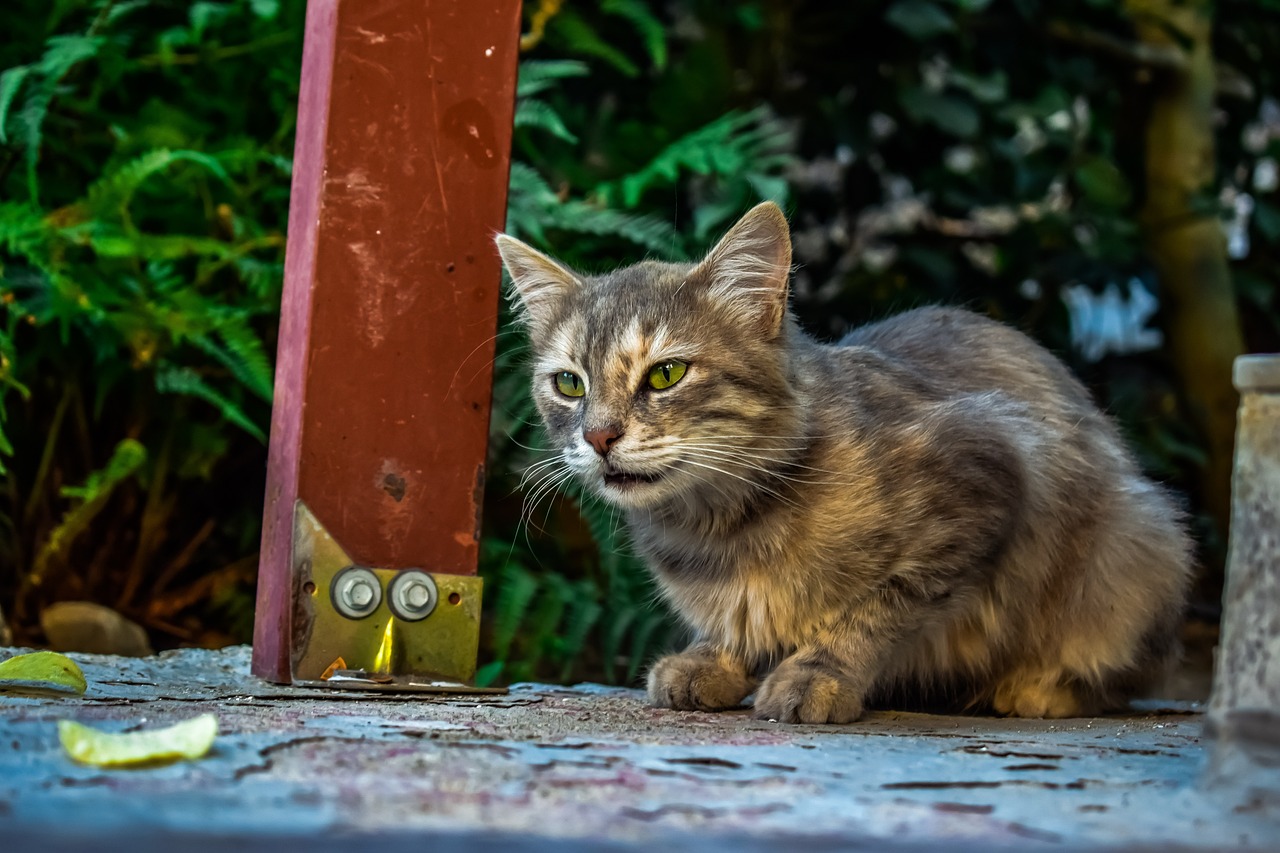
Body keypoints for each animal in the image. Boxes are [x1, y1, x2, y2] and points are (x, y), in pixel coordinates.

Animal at [494, 202, 1192, 722]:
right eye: (569, 385)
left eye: (666, 374)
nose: (599, 436)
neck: (722, 527)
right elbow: (736, 623)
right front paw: (715, 657)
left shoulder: (988, 472)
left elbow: (876, 608)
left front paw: (818, 673)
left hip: (1138, 544)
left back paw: (1037, 689)